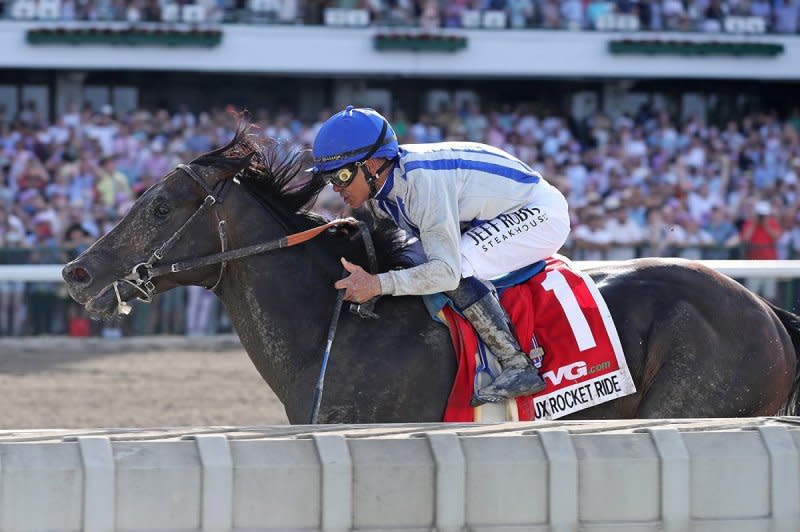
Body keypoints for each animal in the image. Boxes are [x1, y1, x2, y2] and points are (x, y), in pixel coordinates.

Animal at [61, 125, 800, 424]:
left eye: (159, 206)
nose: (76, 272)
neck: (334, 332)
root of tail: (766, 312)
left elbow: (450, 266)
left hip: (696, 405)